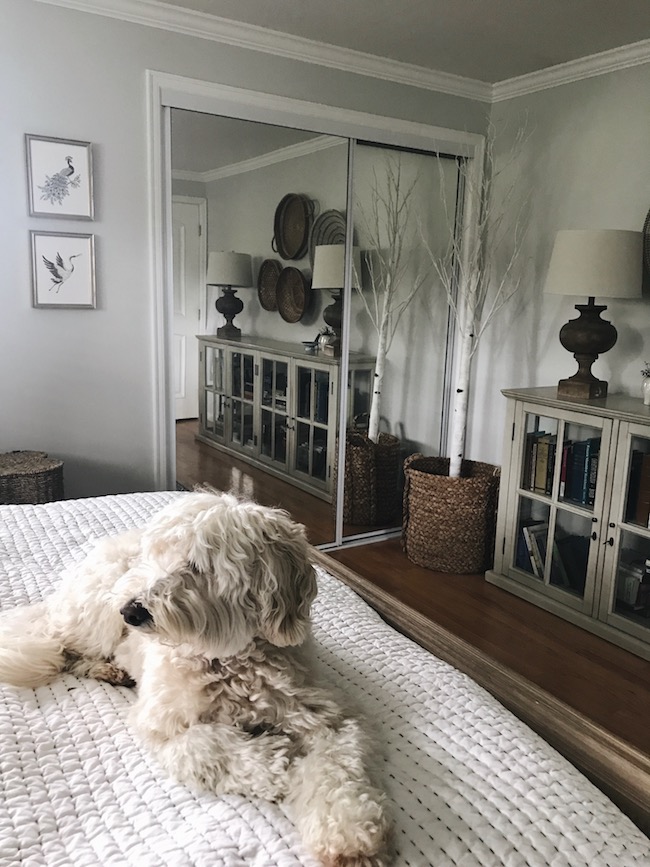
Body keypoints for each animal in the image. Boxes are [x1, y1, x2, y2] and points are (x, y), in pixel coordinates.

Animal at [0, 492, 390, 864]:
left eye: (197, 566)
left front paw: (348, 832)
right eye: (155, 555)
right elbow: (209, 744)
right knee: (64, 648)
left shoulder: (326, 718)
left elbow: (336, 769)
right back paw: (104, 667)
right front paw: (275, 764)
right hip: (93, 620)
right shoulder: (162, 725)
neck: (228, 659)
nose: (131, 611)